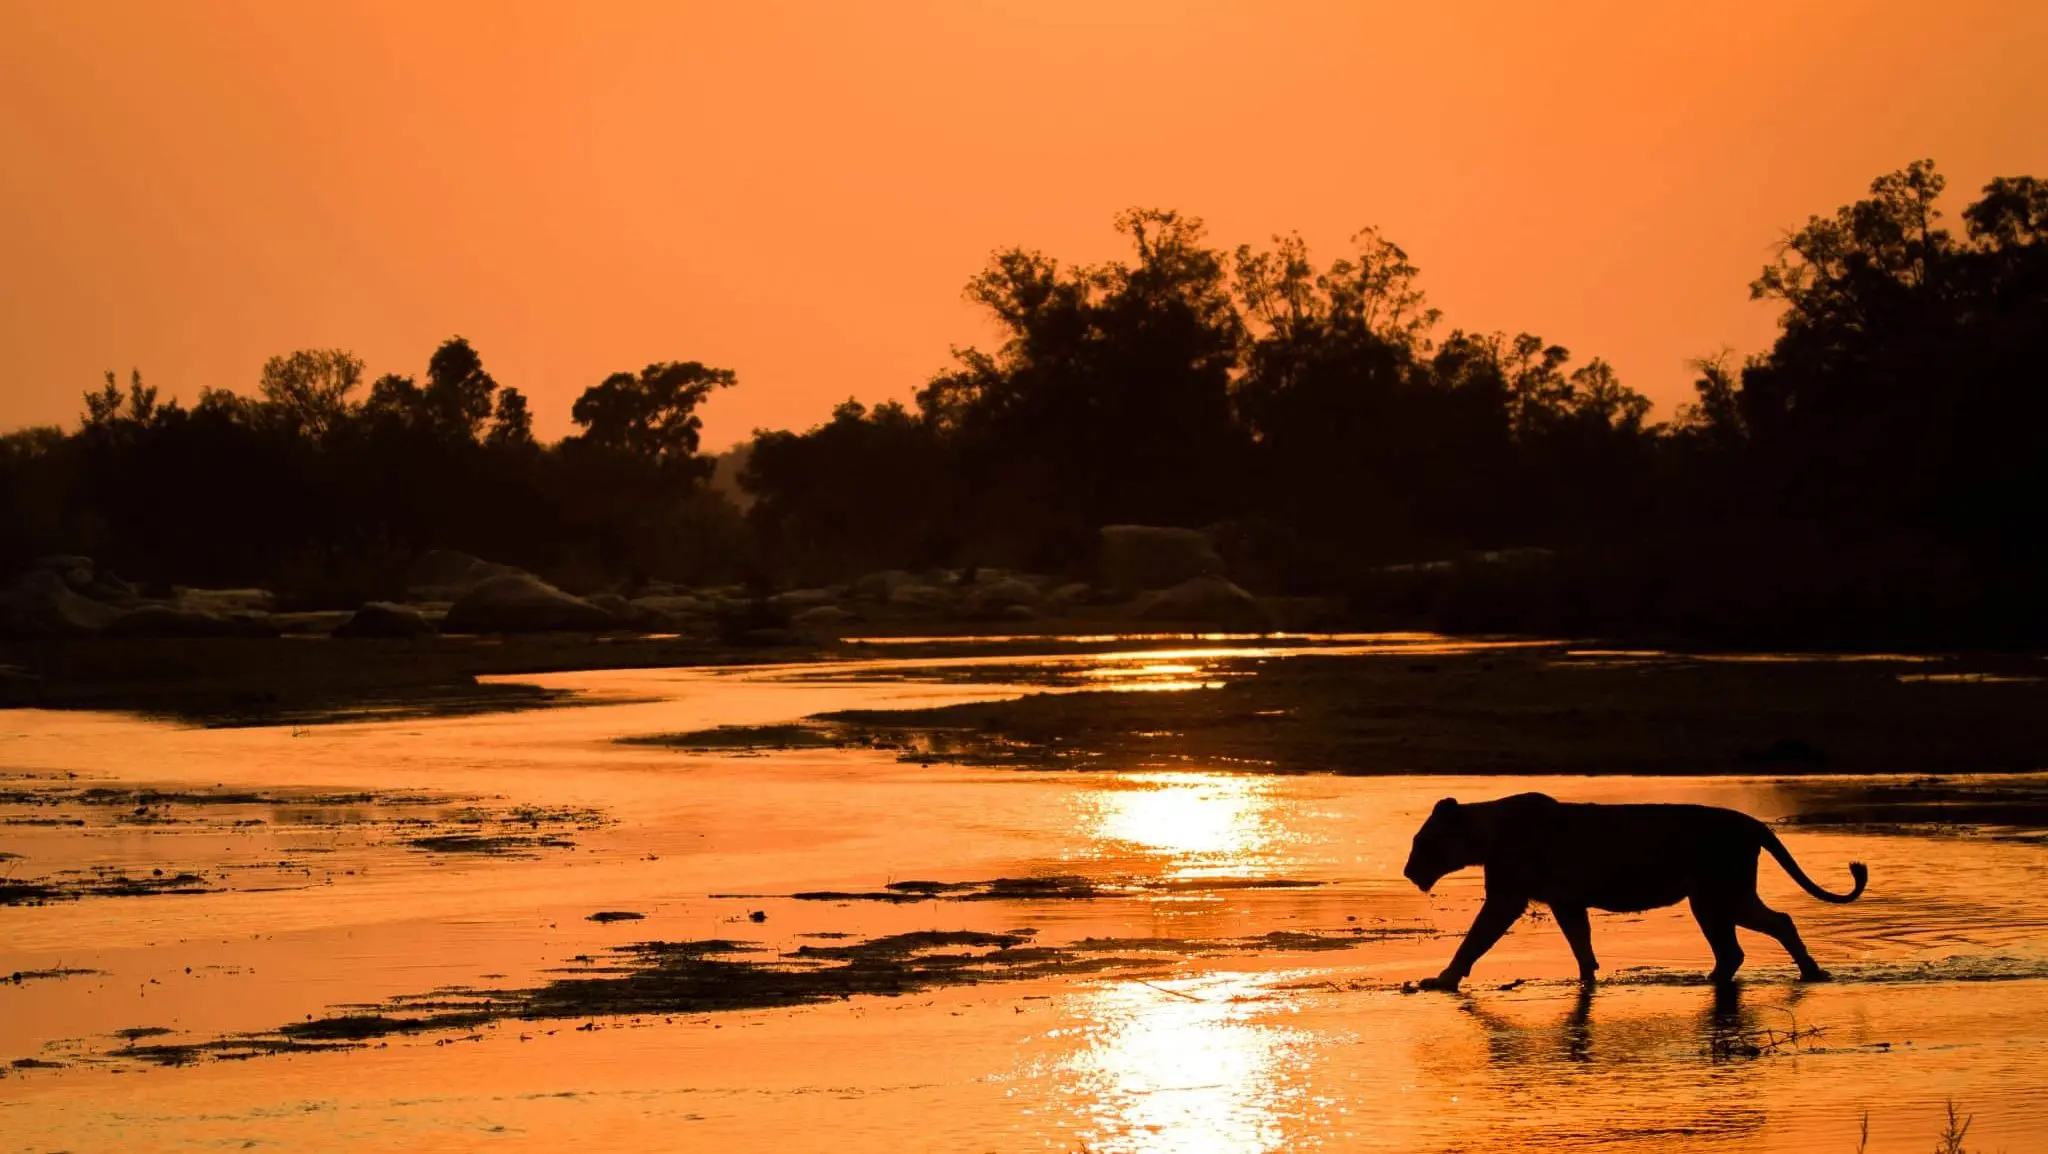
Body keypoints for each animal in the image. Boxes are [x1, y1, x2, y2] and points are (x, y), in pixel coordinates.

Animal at [1402, 792, 1866, 991]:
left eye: (1422, 843)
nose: (1408, 872)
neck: (1484, 832)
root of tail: (1754, 824)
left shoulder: (1507, 897)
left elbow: (1474, 940)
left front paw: (1440, 980)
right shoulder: (1567, 901)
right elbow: (1580, 944)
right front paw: (1588, 979)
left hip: (1718, 894)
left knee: (1752, 939)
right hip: (1723, 896)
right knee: (1765, 931)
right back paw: (1805, 973)